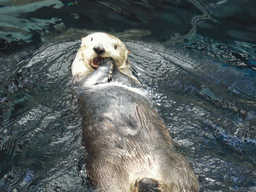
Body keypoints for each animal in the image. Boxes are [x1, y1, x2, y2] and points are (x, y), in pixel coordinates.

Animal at [71, 32, 198, 191]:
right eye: (92, 39)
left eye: (115, 46)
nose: (99, 49)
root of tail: (144, 172)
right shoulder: (80, 82)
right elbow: (90, 80)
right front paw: (106, 64)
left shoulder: (133, 82)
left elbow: (125, 77)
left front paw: (111, 63)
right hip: (103, 171)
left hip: (181, 167)